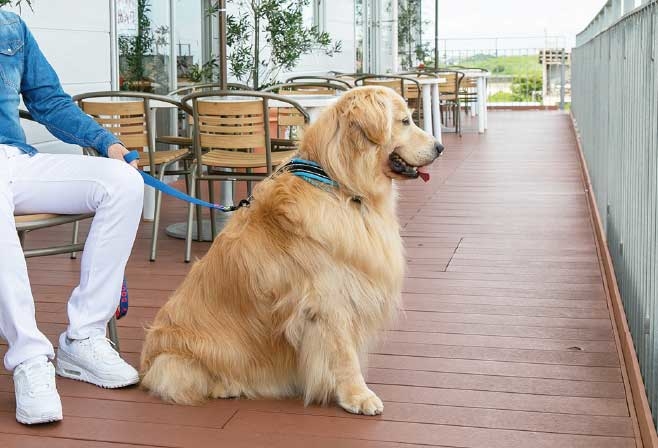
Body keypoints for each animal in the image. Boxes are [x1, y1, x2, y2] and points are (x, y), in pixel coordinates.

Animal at [140, 86, 440, 414]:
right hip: (182, 357)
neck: (339, 185)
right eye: (405, 121)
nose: (440, 147)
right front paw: (358, 395)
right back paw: (228, 386)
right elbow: (344, 354)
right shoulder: (329, 300)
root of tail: (145, 367)